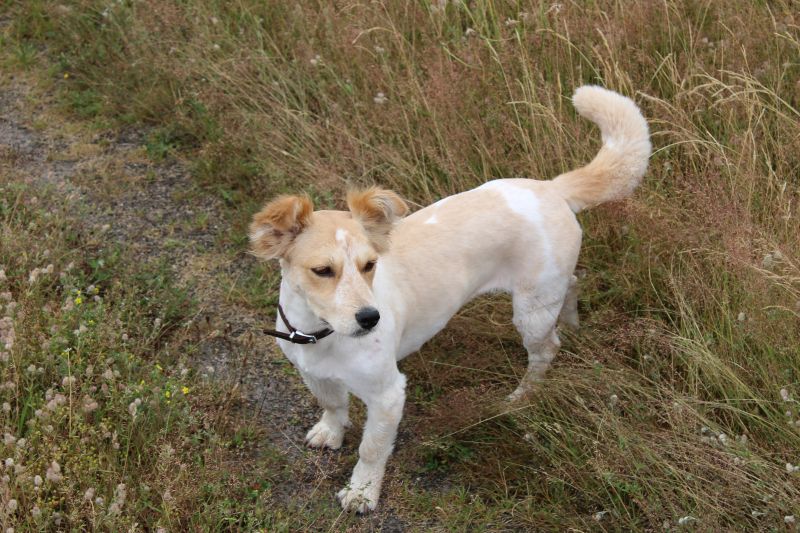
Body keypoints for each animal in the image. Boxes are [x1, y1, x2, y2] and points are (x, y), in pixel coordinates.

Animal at [249, 86, 650, 512]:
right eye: (323, 270)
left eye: (370, 265)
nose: (370, 319)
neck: (319, 333)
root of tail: (551, 188)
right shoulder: (311, 372)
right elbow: (332, 403)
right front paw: (331, 432)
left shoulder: (388, 395)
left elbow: (371, 449)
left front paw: (362, 492)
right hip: (552, 287)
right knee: (573, 284)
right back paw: (572, 323)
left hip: (532, 310)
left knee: (545, 351)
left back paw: (521, 396)